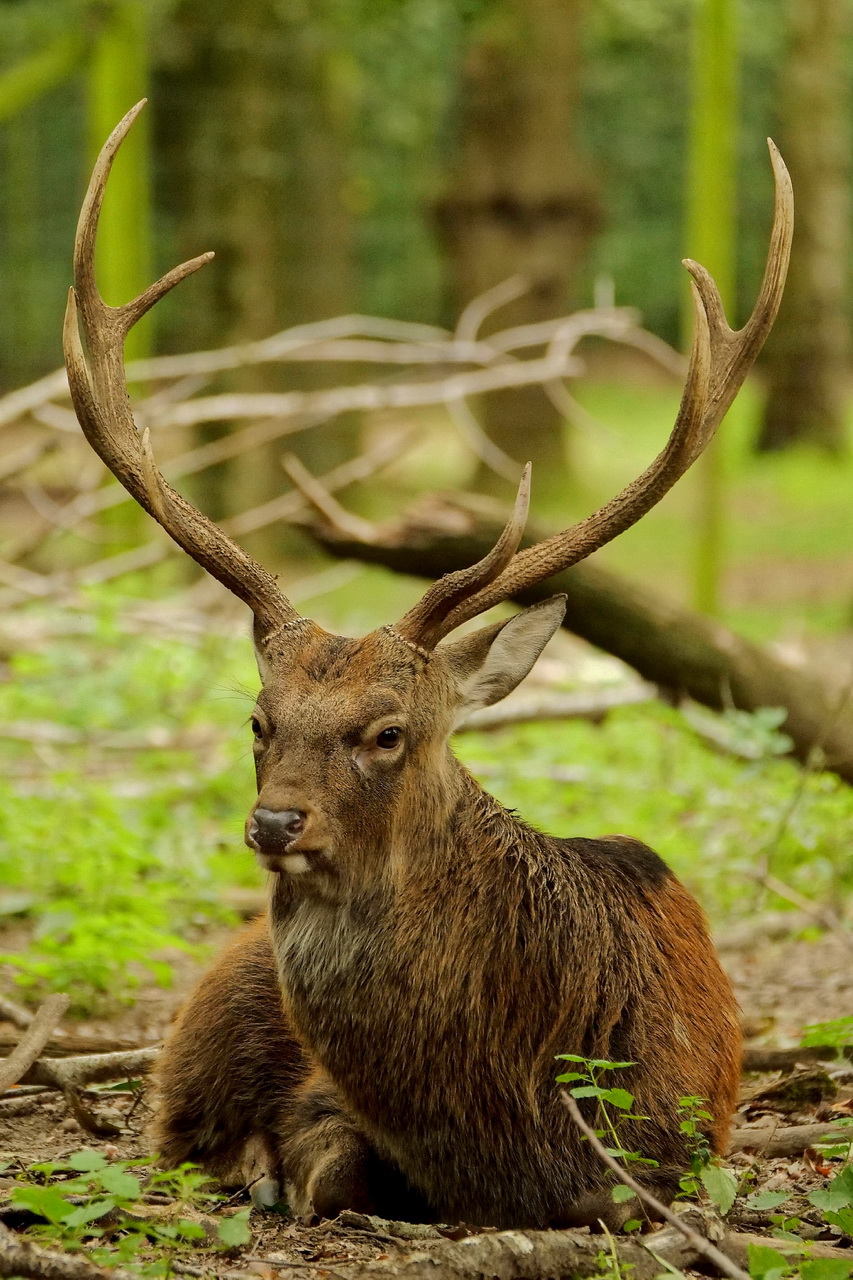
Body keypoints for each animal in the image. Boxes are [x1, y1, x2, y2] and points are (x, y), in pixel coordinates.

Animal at [64, 102, 788, 1228]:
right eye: (259, 721)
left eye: (387, 731)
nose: (276, 821)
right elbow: (328, 1163)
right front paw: (273, 1168)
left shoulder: (679, 1152)